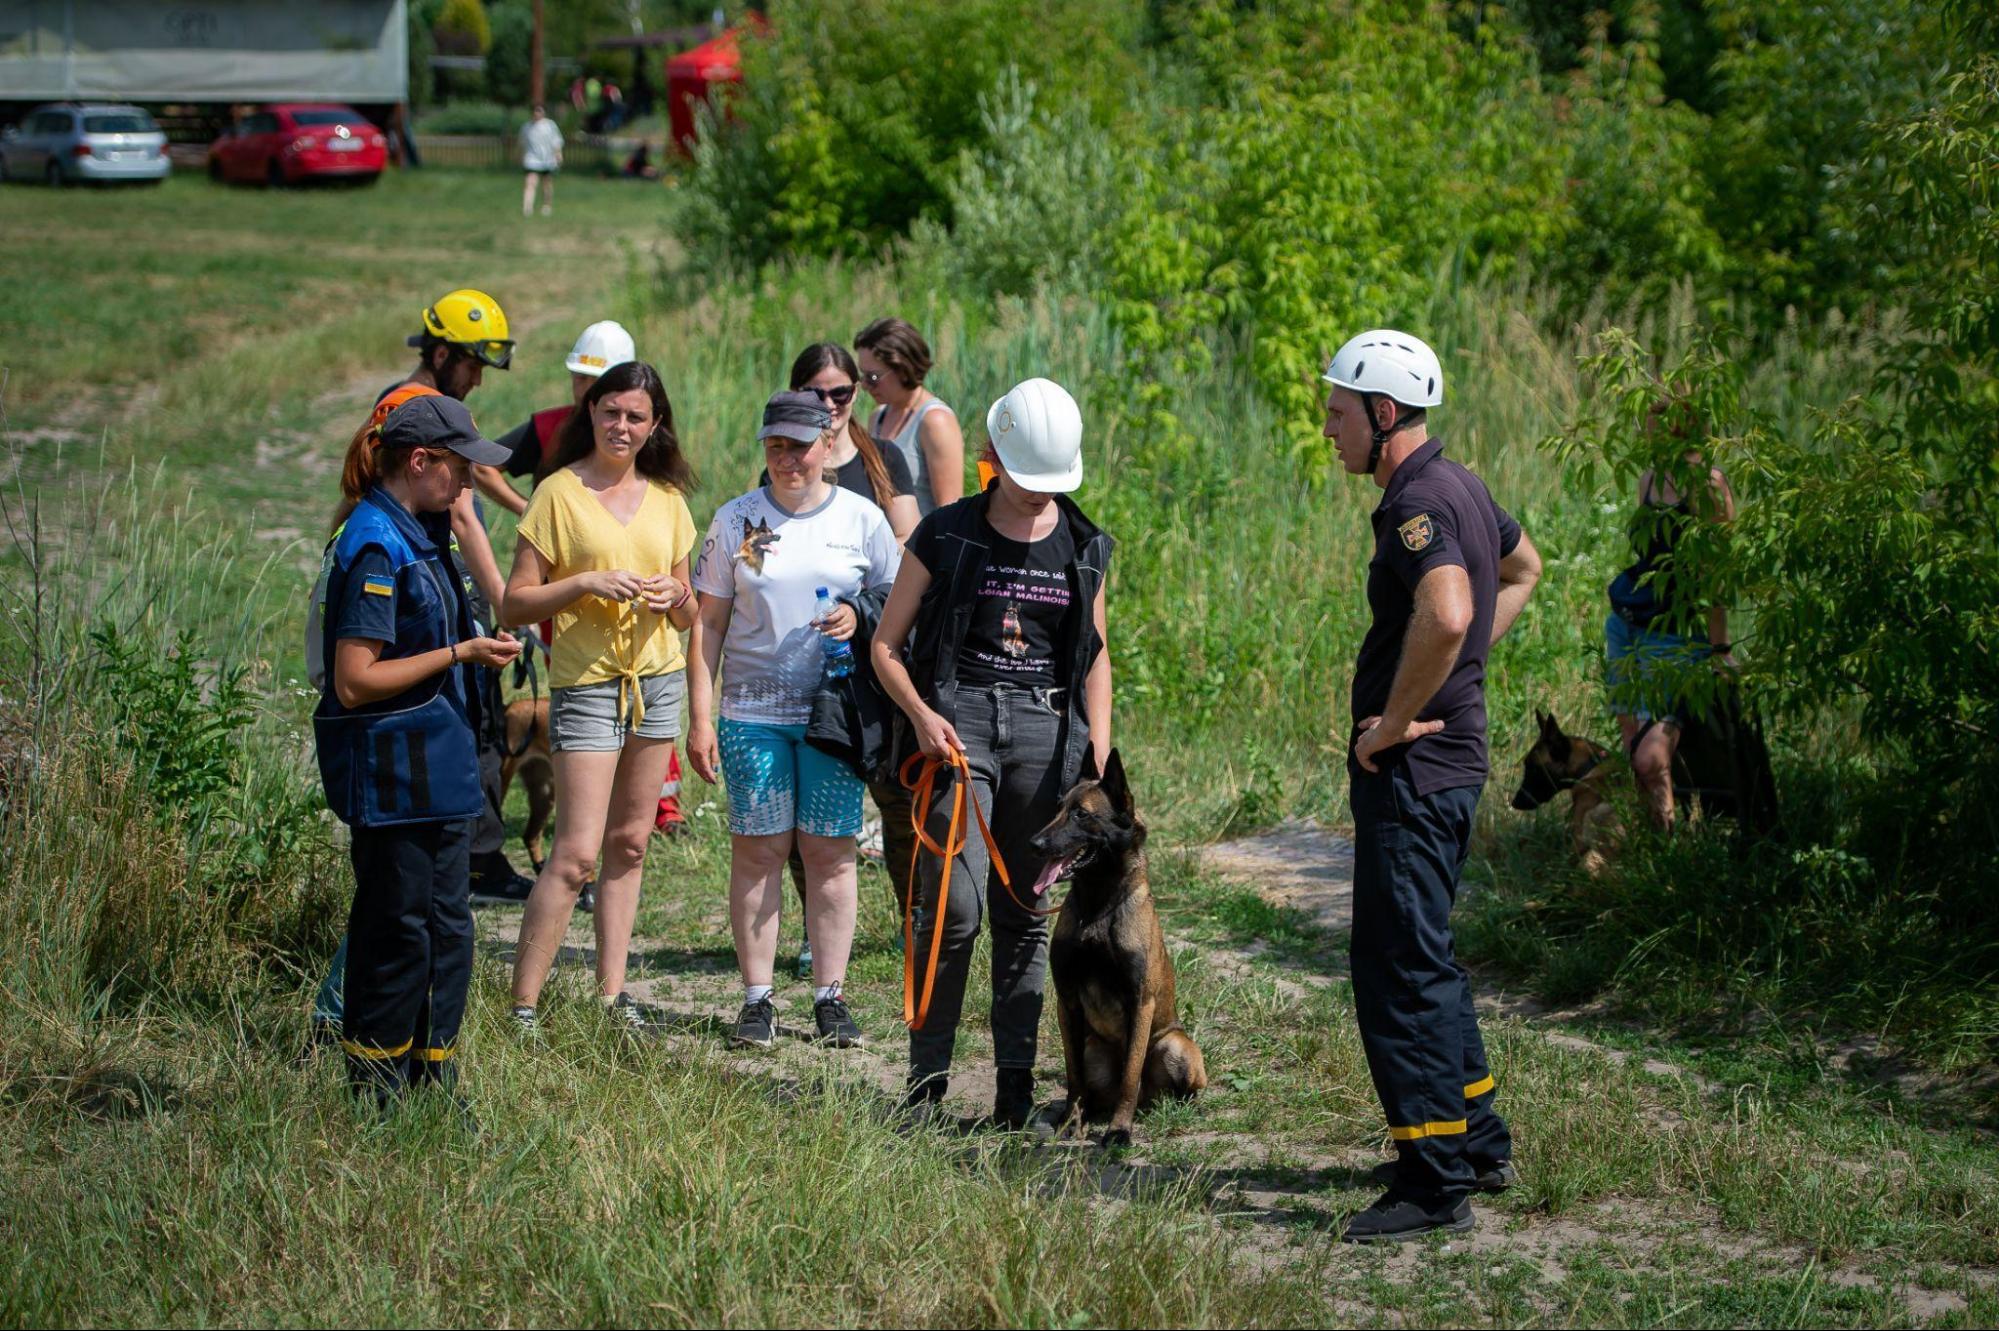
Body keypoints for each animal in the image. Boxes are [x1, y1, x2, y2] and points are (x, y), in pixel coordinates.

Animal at [1031, 747, 1199, 1143]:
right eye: (1058, 808)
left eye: (1081, 814)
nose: (1035, 844)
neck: (1099, 904)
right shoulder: (1067, 1001)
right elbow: (1073, 1076)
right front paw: (1070, 1121)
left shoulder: (1140, 1002)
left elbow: (1129, 1077)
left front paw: (1119, 1130)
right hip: (1094, 1048)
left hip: (1176, 1046)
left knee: (1169, 1088)